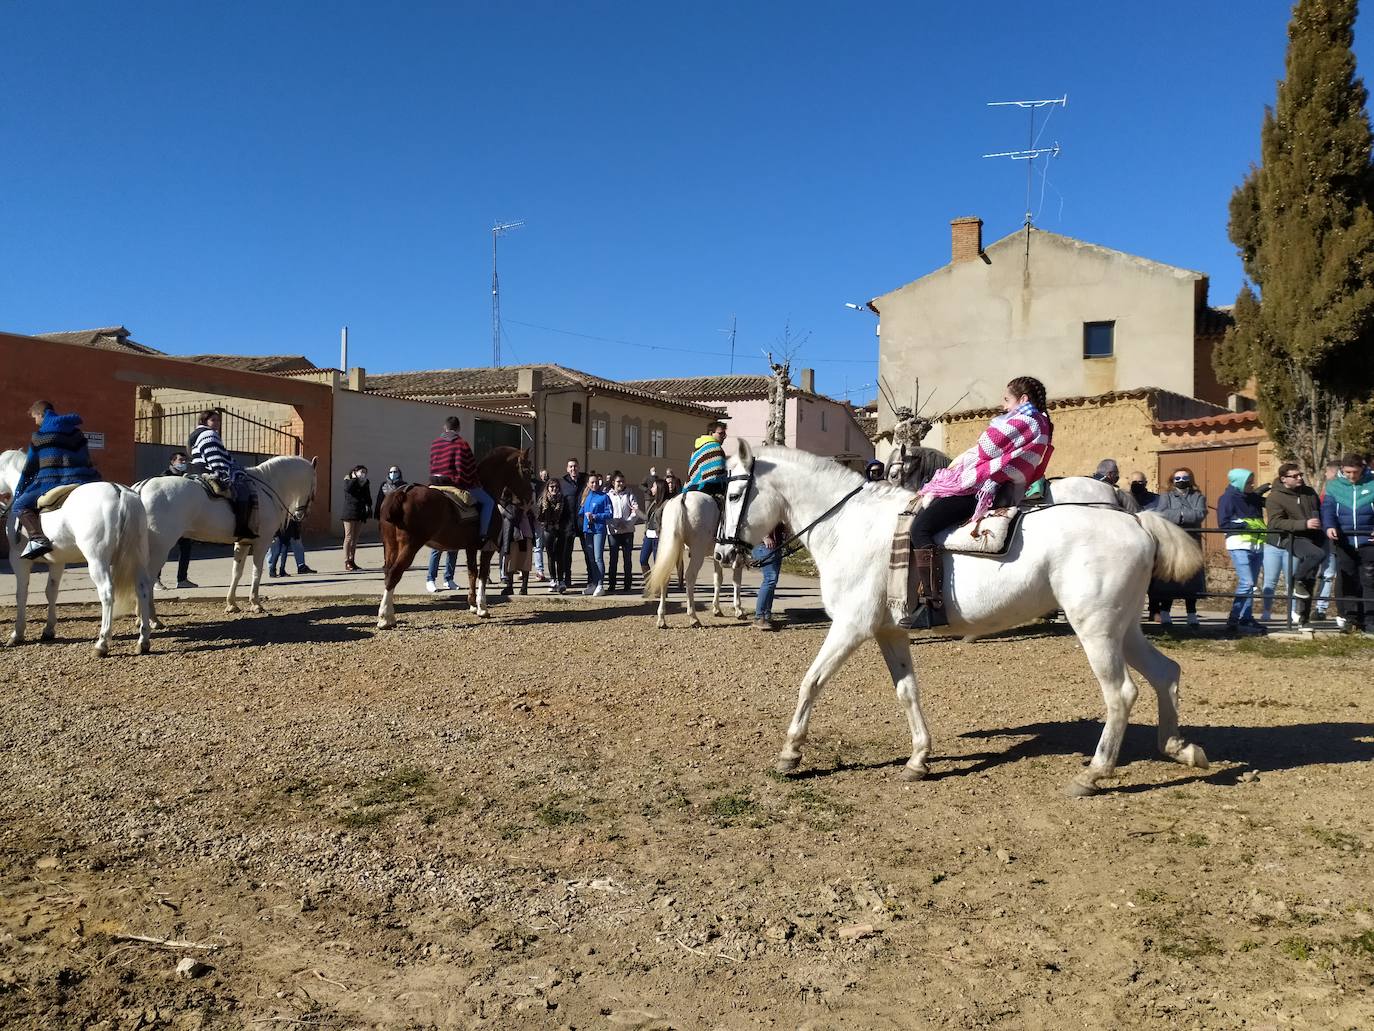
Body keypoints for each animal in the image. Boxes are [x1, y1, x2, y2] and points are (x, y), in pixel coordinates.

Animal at [1, 448, 154, 657]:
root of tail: (120, 492)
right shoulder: (57, 562)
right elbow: (51, 592)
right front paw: (48, 629)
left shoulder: (18, 561)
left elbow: (21, 594)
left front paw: (17, 633)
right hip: (138, 558)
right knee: (143, 589)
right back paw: (143, 640)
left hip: (97, 561)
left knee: (107, 593)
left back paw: (102, 643)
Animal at [138, 459, 317, 621]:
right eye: (314, 486)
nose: (301, 515)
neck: (267, 487)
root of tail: (142, 488)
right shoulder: (262, 542)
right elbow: (257, 571)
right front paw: (255, 603)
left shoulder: (242, 542)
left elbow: (236, 572)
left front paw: (232, 604)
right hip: (160, 548)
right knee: (147, 579)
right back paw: (152, 619)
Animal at [379, 445, 533, 629]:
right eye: (527, 471)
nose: (530, 499)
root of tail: (403, 492)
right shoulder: (488, 548)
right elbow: (483, 573)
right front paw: (482, 607)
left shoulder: (470, 547)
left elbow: (472, 572)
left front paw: (472, 604)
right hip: (410, 546)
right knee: (394, 573)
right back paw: (385, 617)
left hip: (390, 545)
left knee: (388, 572)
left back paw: (388, 615)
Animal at [640, 489, 741, 629]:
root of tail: (682, 498)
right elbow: (736, 581)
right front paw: (738, 609)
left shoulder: (718, 556)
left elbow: (718, 579)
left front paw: (717, 608)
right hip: (697, 552)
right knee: (690, 577)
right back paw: (693, 617)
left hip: (670, 548)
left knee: (665, 577)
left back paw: (661, 619)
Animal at [714, 445, 1209, 797]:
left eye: (735, 494)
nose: (721, 552)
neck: (850, 527)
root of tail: (1137, 522)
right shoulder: (890, 632)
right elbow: (908, 693)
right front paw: (918, 759)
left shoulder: (851, 627)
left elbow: (811, 682)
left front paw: (790, 753)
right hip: (1123, 629)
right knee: (1166, 673)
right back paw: (1181, 748)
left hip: (1097, 630)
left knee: (1121, 693)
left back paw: (1094, 774)